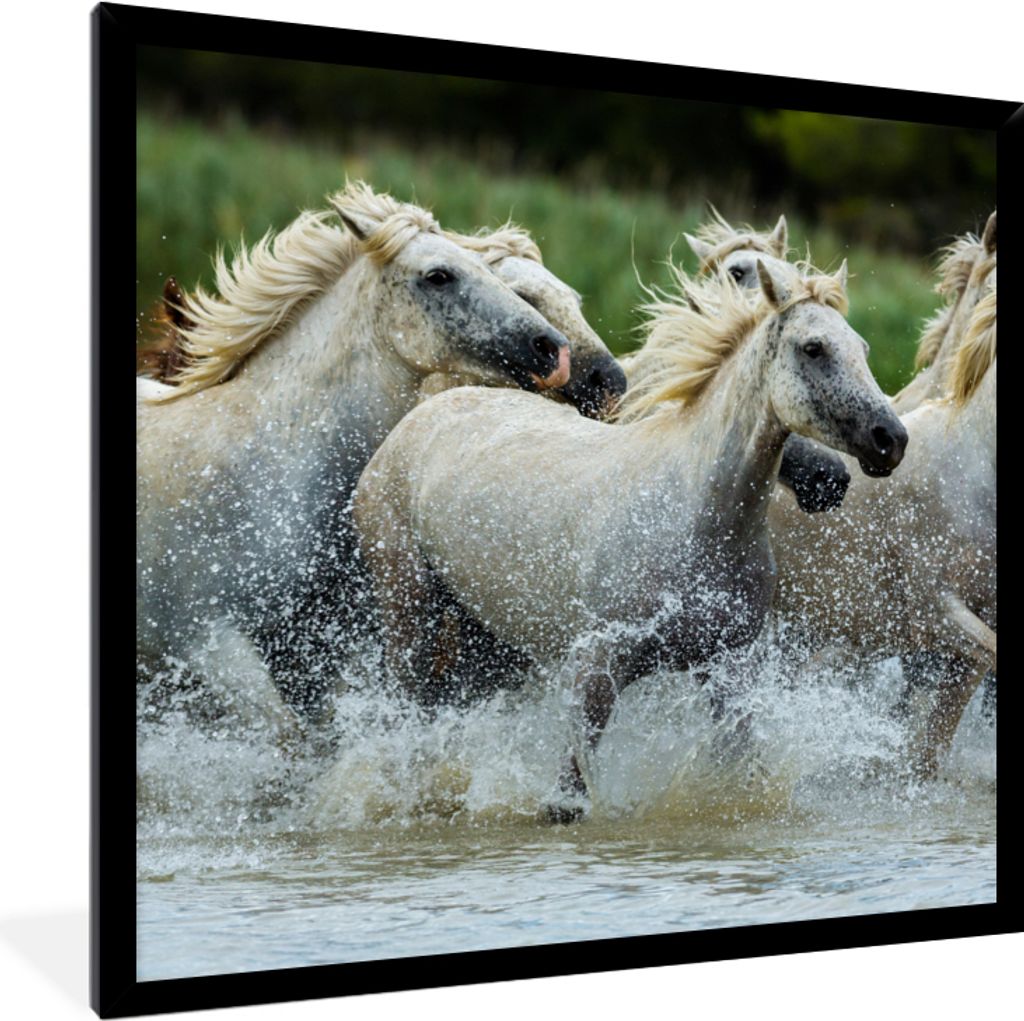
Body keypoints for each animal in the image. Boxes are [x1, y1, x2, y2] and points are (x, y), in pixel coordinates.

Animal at [353, 259, 907, 809]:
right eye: (813, 348)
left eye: (862, 349)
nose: (890, 440)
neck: (692, 516)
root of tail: (418, 419)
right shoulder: (596, 673)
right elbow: (569, 798)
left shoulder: (728, 671)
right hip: (409, 610)